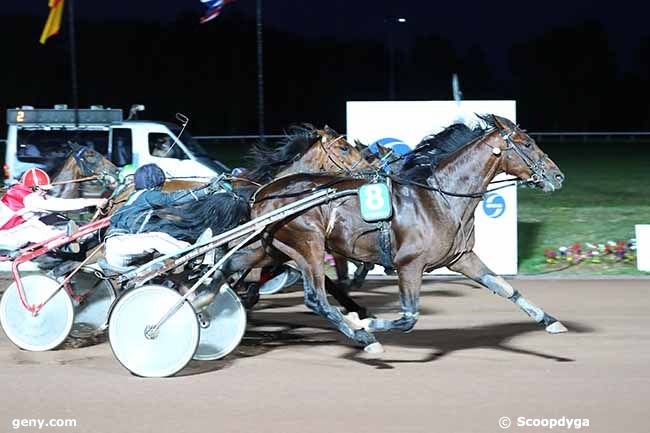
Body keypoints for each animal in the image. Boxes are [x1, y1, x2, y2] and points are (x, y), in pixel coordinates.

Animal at [218, 114, 568, 352]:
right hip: (308, 246)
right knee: (315, 298)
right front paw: (367, 322)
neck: (440, 198)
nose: (558, 176)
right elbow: (409, 317)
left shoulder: (461, 258)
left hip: (270, 248)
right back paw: (364, 336)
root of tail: (263, 192)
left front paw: (551, 321)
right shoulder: (409, 264)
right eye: (526, 144)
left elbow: (505, 288)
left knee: (226, 268)